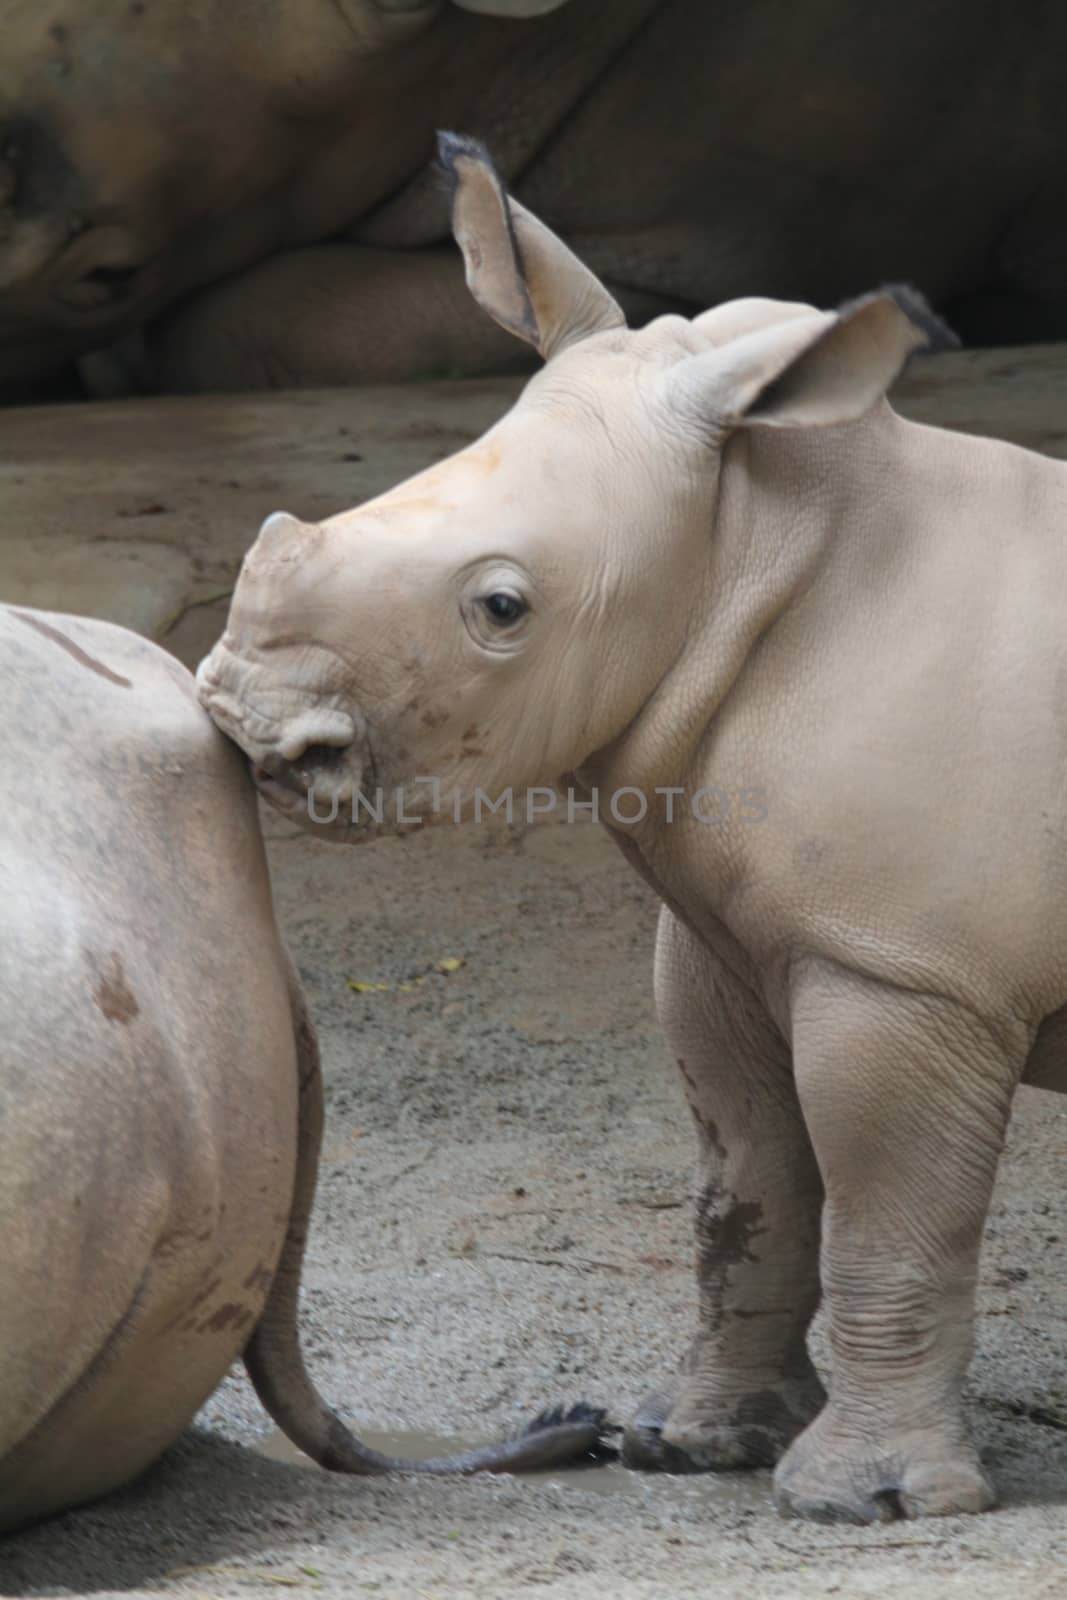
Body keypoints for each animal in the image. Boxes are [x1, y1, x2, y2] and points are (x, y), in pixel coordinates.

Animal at [198, 137, 1067, 1523]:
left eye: (502, 607)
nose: (245, 718)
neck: (749, 540)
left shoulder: (907, 966)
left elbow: (886, 1213)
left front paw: (858, 1503)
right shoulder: (732, 938)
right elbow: (746, 1186)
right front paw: (691, 1440)